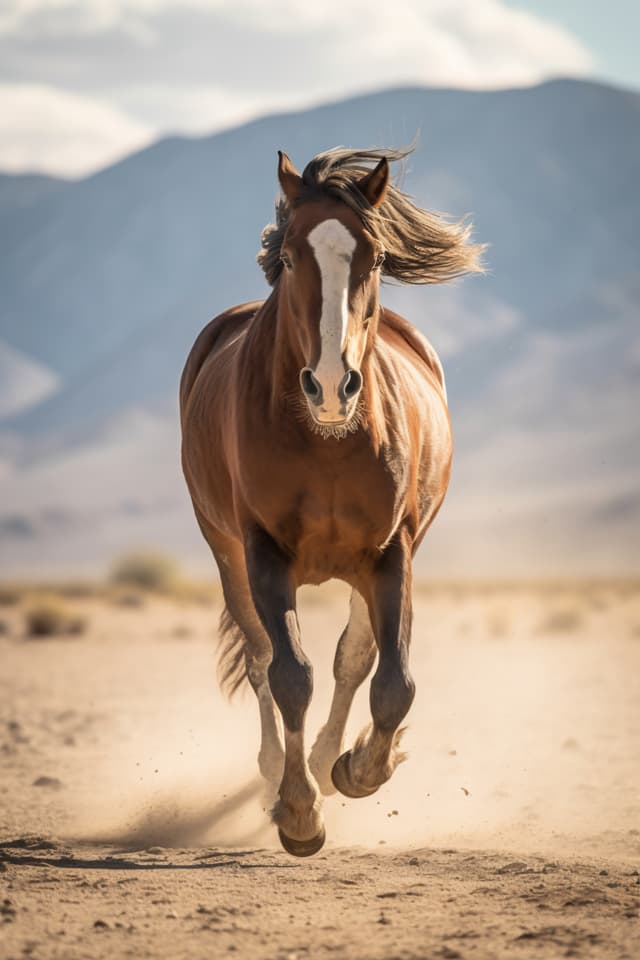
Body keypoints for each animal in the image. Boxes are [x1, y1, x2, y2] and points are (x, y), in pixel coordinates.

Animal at [180, 147, 483, 856]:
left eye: (372, 258)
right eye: (291, 257)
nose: (329, 386)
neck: (325, 441)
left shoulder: (391, 552)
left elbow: (390, 680)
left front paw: (357, 769)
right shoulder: (262, 551)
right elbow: (290, 672)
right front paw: (298, 811)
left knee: (354, 658)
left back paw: (325, 760)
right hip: (224, 548)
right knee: (260, 656)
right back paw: (276, 773)